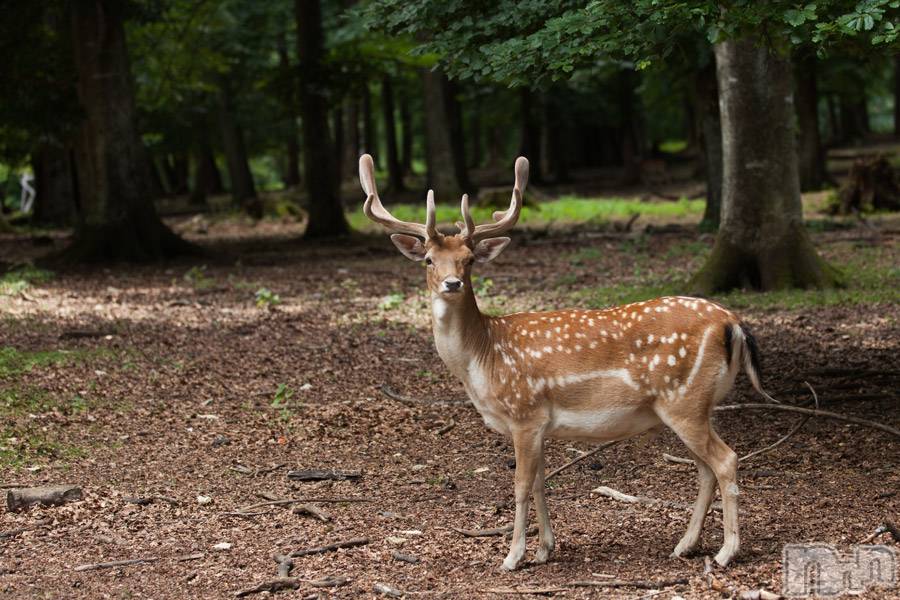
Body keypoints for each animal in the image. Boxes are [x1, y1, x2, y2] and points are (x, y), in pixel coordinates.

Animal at [358, 152, 772, 568]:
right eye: (428, 260)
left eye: (469, 259)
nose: (452, 283)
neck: (482, 359)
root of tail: (732, 322)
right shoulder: (540, 425)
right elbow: (542, 483)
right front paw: (544, 549)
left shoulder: (525, 413)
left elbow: (520, 485)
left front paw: (513, 556)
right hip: (697, 404)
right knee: (705, 469)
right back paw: (685, 545)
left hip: (684, 400)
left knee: (725, 460)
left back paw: (726, 552)